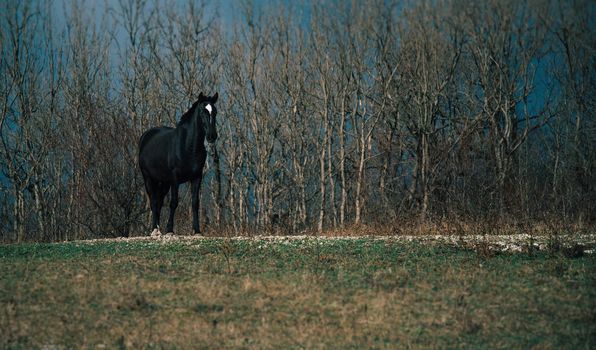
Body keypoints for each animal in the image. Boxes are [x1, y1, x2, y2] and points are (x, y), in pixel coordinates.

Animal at [139, 93, 218, 235]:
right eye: (202, 112)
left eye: (215, 112)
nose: (211, 135)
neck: (187, 146)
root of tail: (145, 136)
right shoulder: (175, 179)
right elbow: (174, 202)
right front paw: (170, 230)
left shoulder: (196, 177)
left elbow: (195, 203)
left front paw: (197, 230)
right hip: (148, 178)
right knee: (153, 201)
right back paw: (155, 230)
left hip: (164, 182)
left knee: (159, 202)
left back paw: (158, 228)